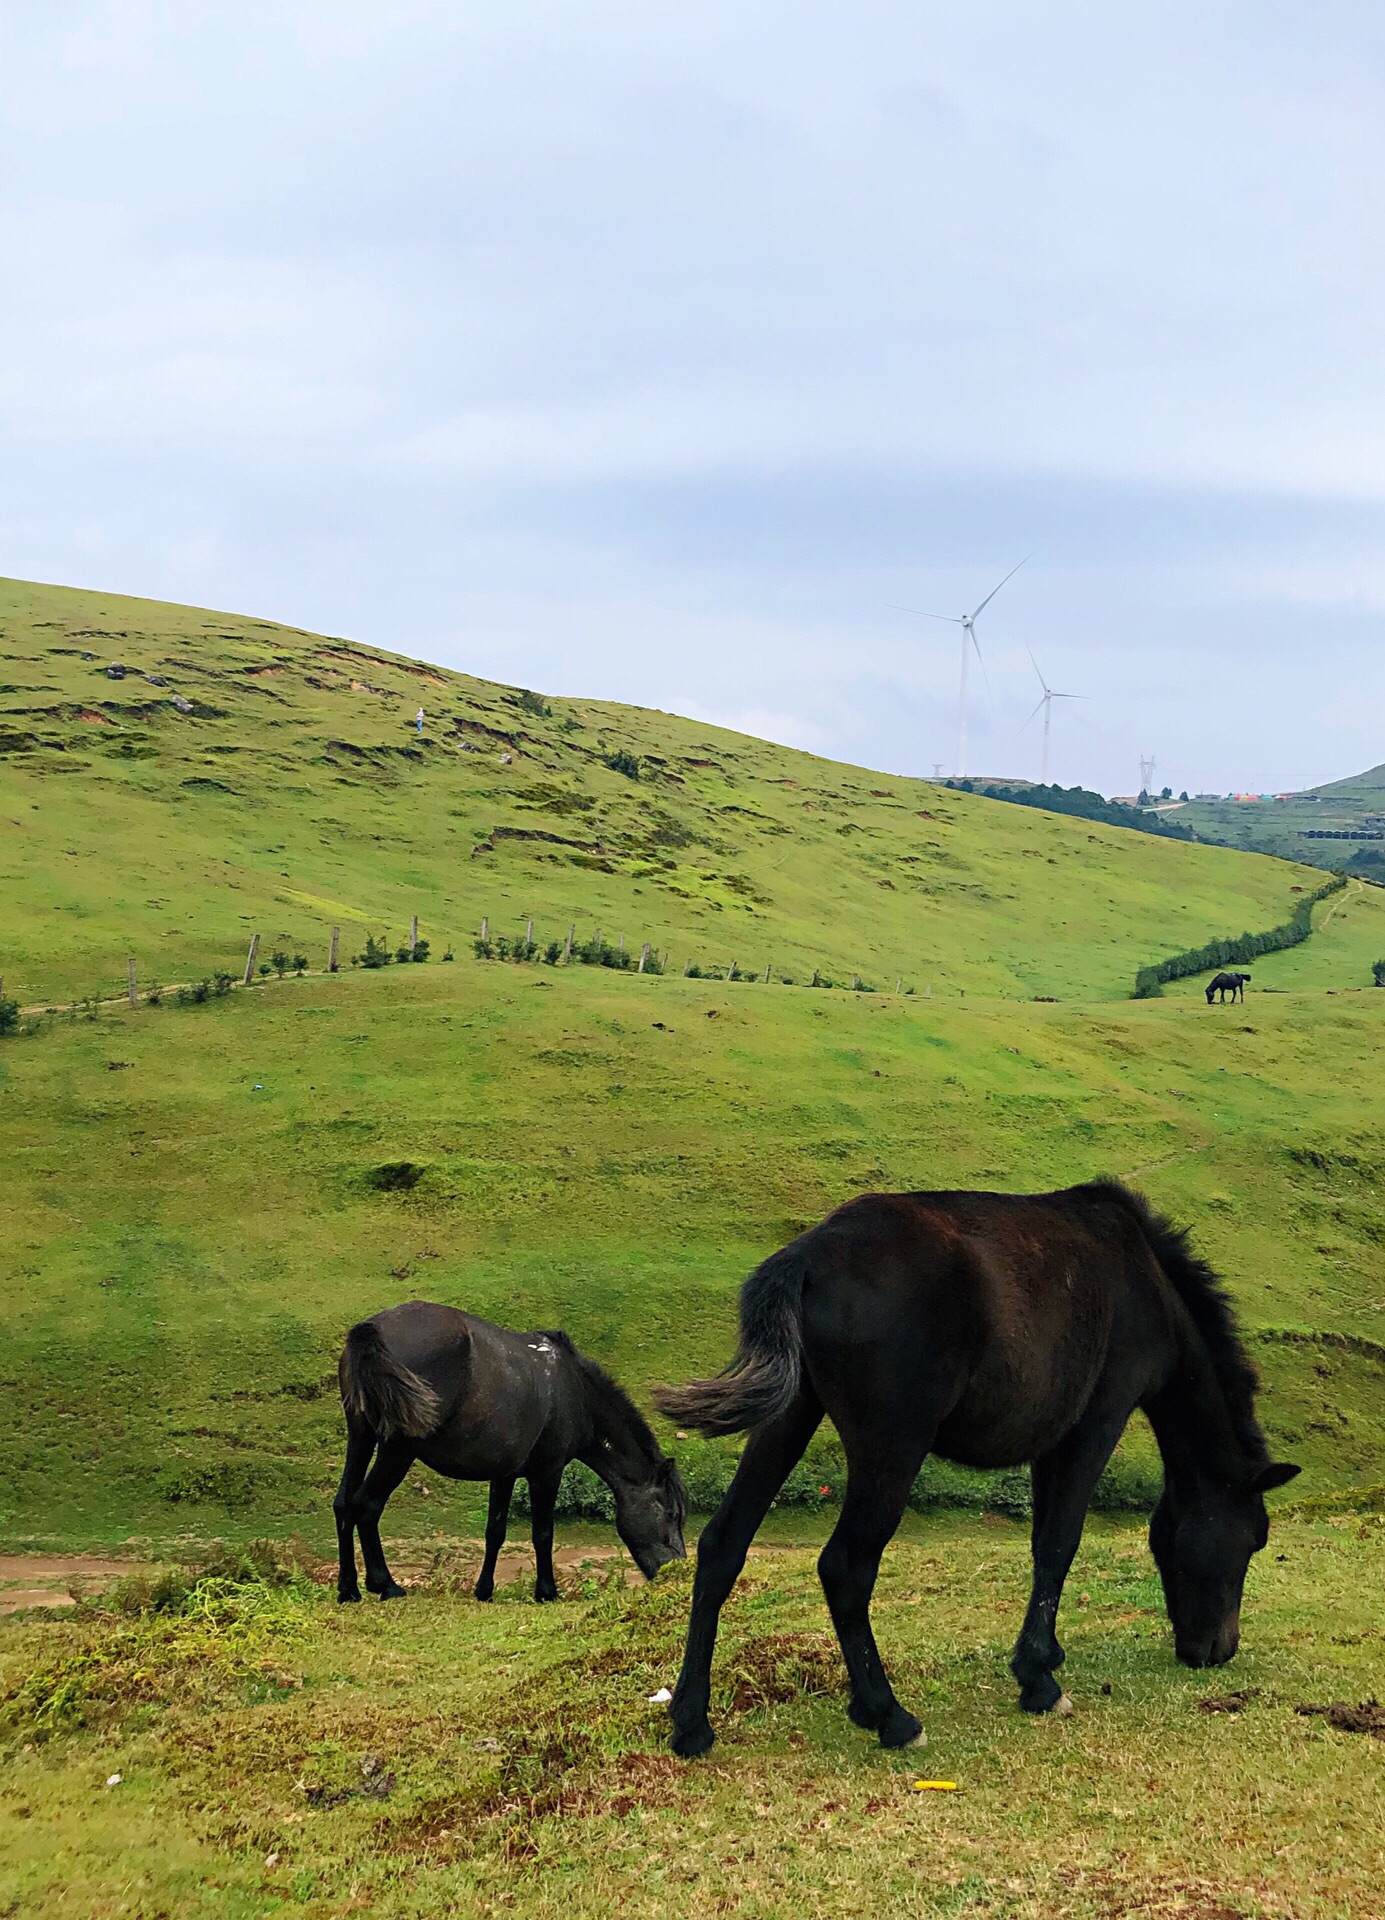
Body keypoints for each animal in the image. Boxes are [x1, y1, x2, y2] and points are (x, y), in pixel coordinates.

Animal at [332, 1305, 683, 1605]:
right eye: (671, 1513)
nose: (676, 1568)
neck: (573, 1389)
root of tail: (374, 1329)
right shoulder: (548, 1471)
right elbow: (543, 1533)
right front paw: (546, 1591)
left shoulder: (504, 1474)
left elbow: (495, 1532)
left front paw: (484, 1591)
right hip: (397, 1451)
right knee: (367, 1505)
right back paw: (385, 1585)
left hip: (361, 1437)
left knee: (344, 1504)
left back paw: (349, 1589)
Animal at [653, 1167, 1290, 1758]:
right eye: (1253, 1538)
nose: (1217, 1651)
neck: (1145, 1280)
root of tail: (808, 1256)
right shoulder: (1096, 1424)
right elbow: (1060, 1543)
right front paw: (1039, 1679)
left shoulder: (1051, 1442)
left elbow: (1043, 1544)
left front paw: (1041, 1660)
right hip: (892, 1450)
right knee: (846, 1566)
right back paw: (889, 1715)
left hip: (788, 1418)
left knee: (723, 1545)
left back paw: (692, 1722)